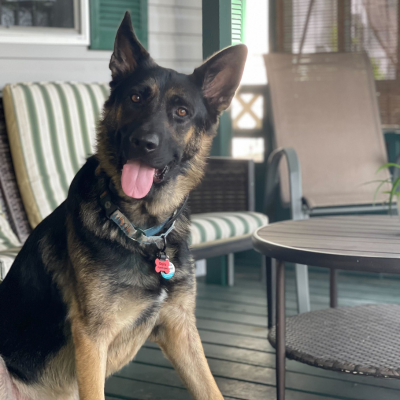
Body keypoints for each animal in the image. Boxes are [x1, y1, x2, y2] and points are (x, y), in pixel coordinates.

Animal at [0, 11, 247, 400]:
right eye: (135, 97)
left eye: (181, 111)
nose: (143, 143)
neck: (143, 232)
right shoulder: (91, 340)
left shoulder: (179, 328)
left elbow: (210, 389)